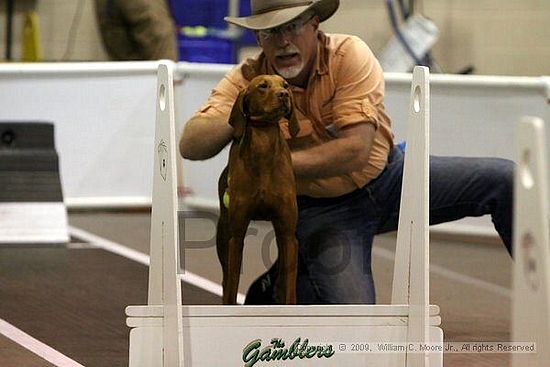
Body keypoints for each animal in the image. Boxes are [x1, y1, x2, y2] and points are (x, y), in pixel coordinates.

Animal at [217, 75, 300, 304]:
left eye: (285, 85)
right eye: (263, 85)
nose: (284, 95)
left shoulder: (288, 233)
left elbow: (290, 288)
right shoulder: (236, 235)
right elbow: (232, 285)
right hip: (223, 235)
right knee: (226, 279)